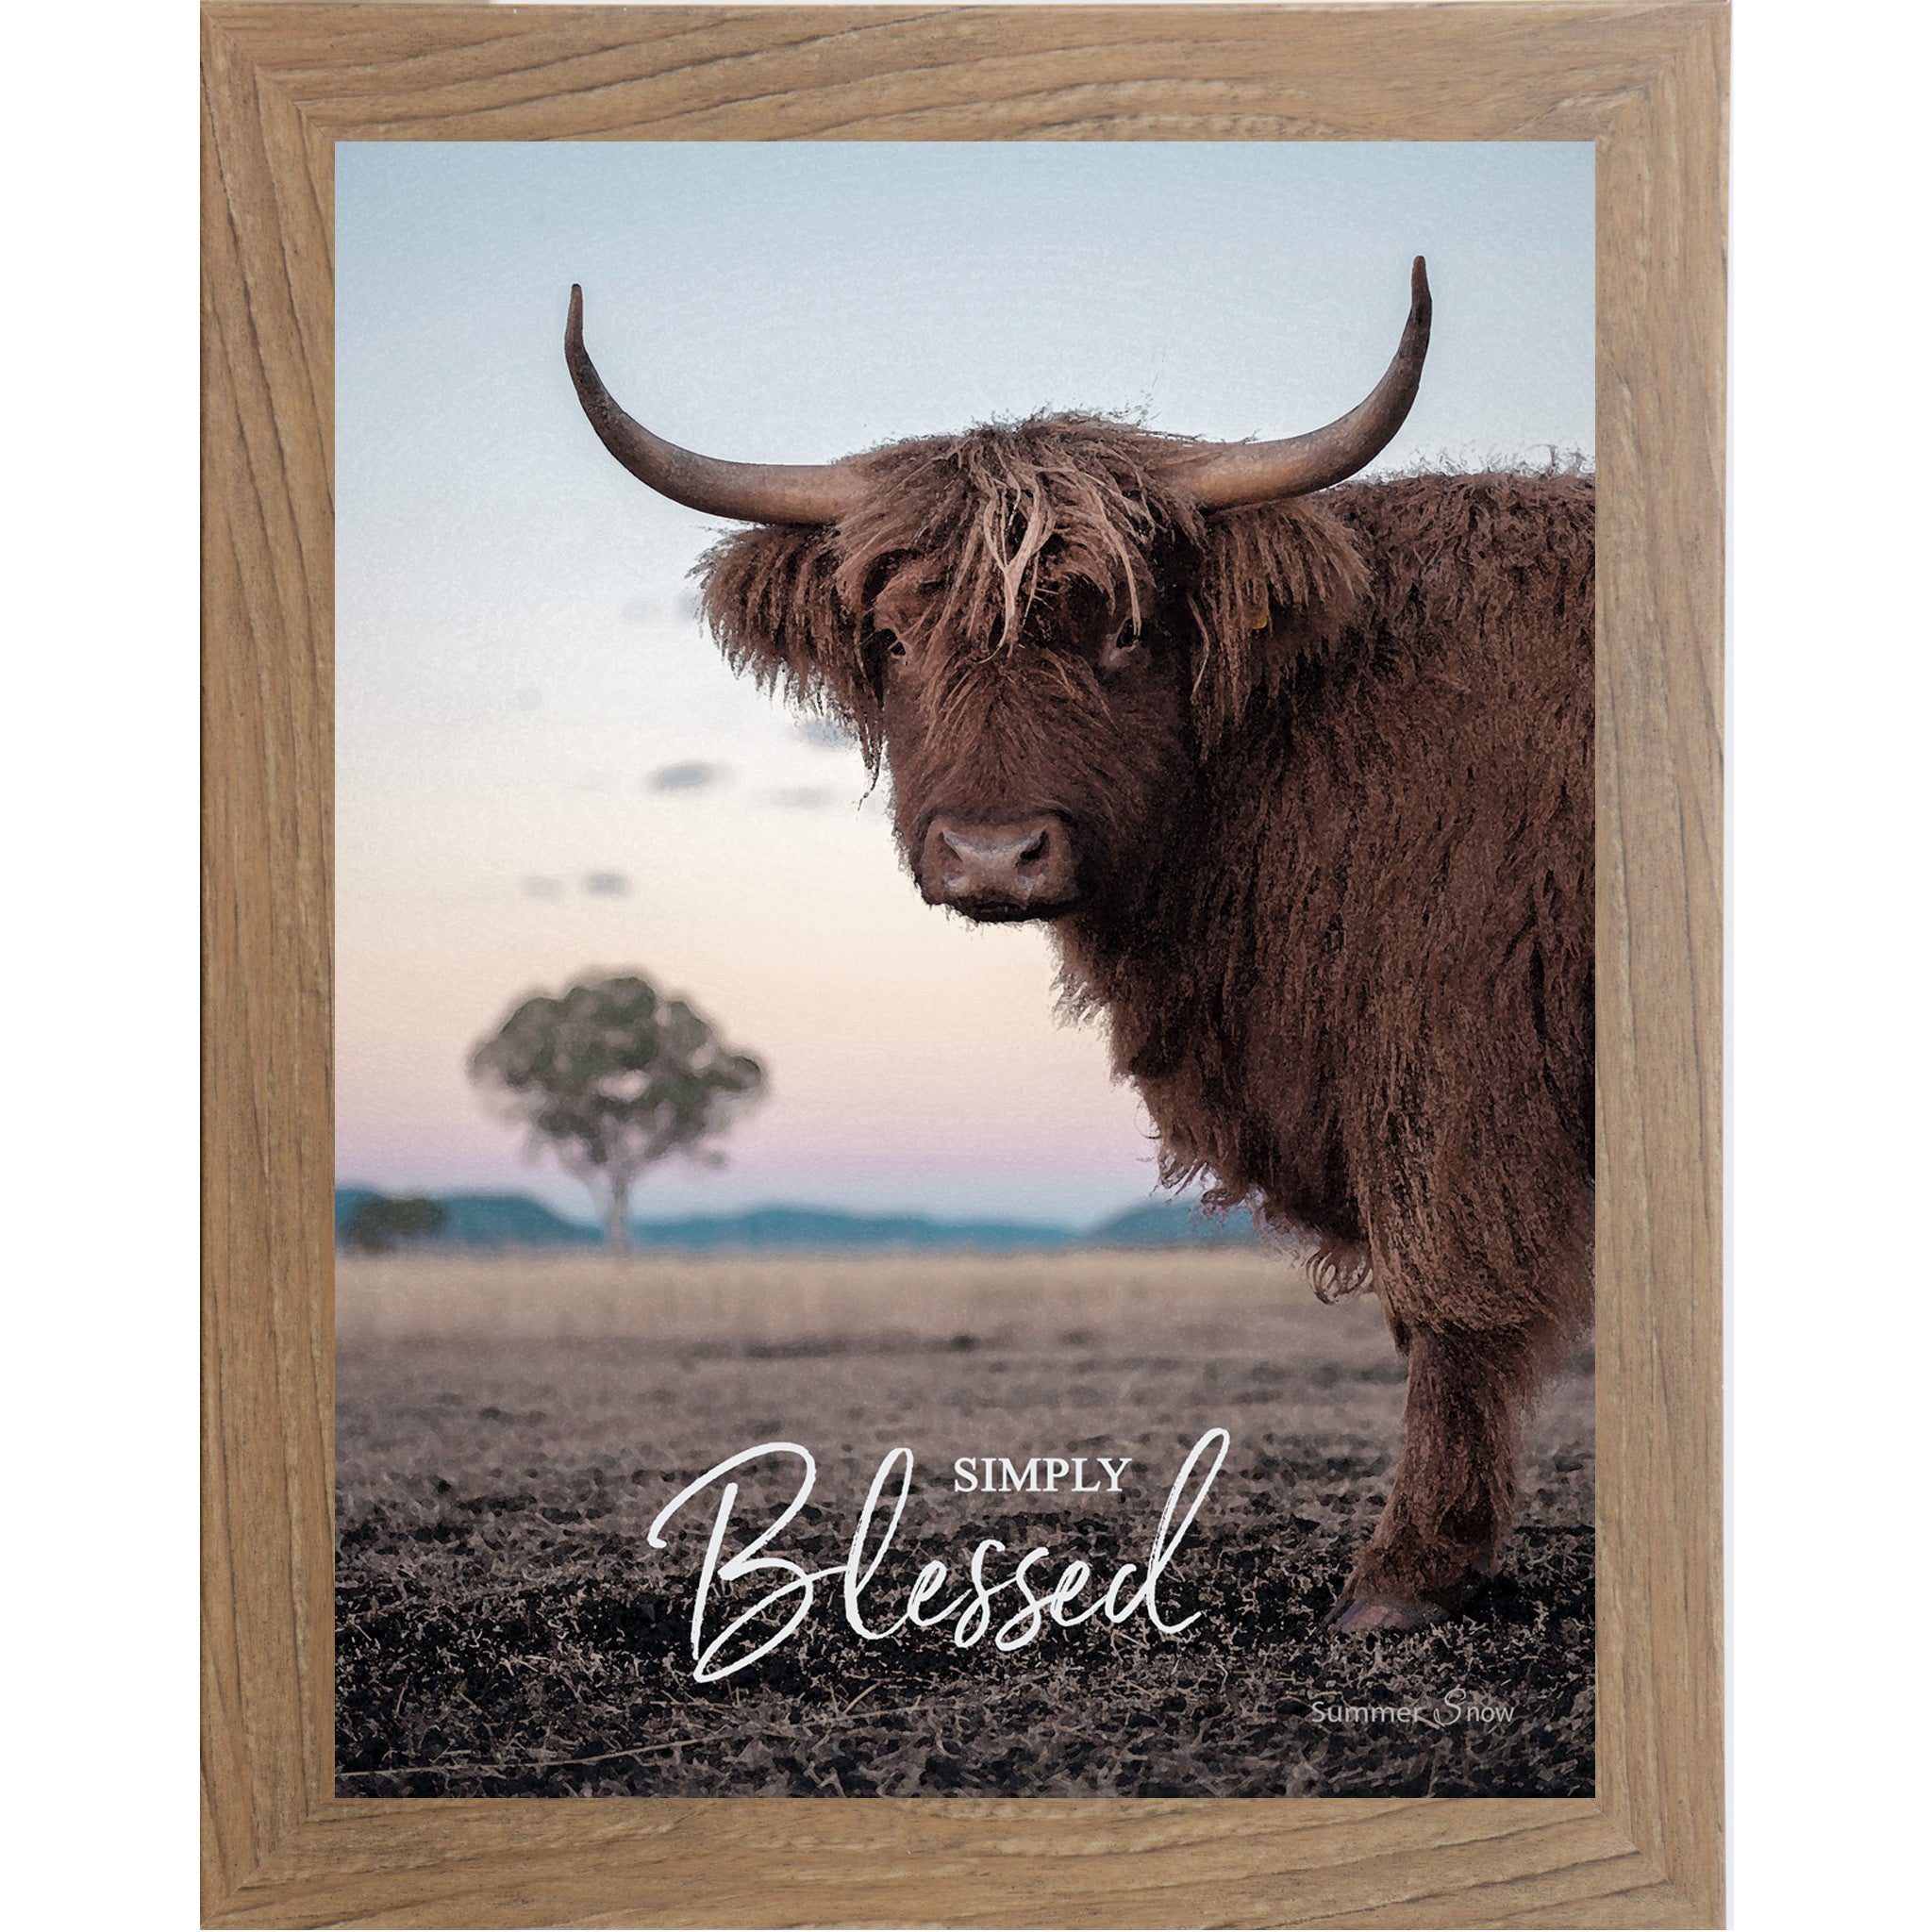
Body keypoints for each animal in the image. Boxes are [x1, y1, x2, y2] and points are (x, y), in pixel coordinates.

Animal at [564, 260, 1594, 1633]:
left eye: (1121, 631)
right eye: (894, 640)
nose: (993, 854)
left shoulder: (1454, 1064)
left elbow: (1447, 1305)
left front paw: (1404, 1573)